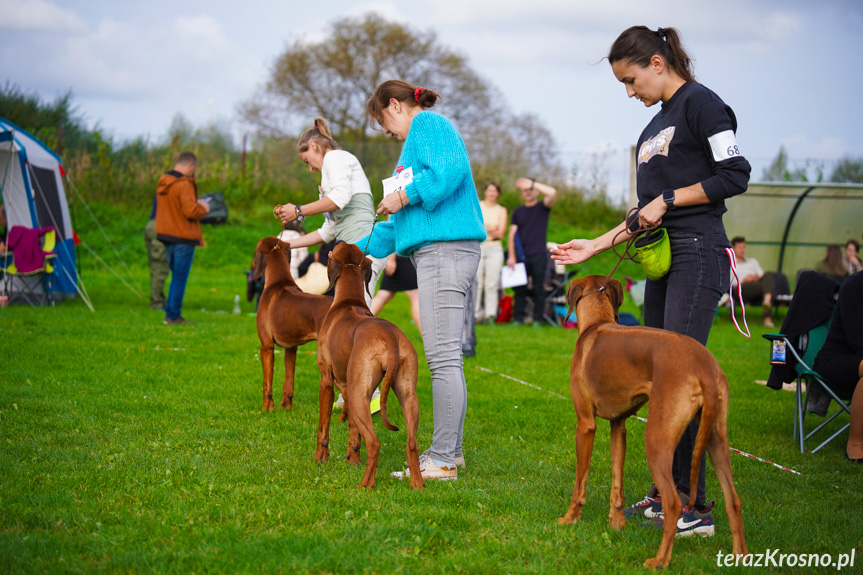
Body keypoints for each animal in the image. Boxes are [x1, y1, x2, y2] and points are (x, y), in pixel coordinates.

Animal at [251, 236, 332, 412]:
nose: (252, 265)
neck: (279, 281)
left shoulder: (266, 346)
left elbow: (266, 383)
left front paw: (266, 408)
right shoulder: (291, 348)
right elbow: (289, 381)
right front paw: (286, 407)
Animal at [318, 243, 426, 490]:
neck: (349, 302)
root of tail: (390, 337)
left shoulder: (327, 382)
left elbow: (323, 427)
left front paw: (320, 458)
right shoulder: (346, 387)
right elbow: (353, 431)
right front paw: (352, 460)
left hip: (359, 395)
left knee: (375, 443)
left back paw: (364, 486)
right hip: (406, 395)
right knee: (411, 443)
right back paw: (417, 485)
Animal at [556, 276, 744, 568]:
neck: (596, 324)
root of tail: (703, 366)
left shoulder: (585, 425)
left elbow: (580, 482)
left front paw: (570, 518)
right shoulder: (618, 426)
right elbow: (617, 483)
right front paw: (617, 524)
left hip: (656, 439)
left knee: (673, 503)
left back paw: (659, 561)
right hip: (715, 438)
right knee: (733, 500)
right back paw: (739, 558)